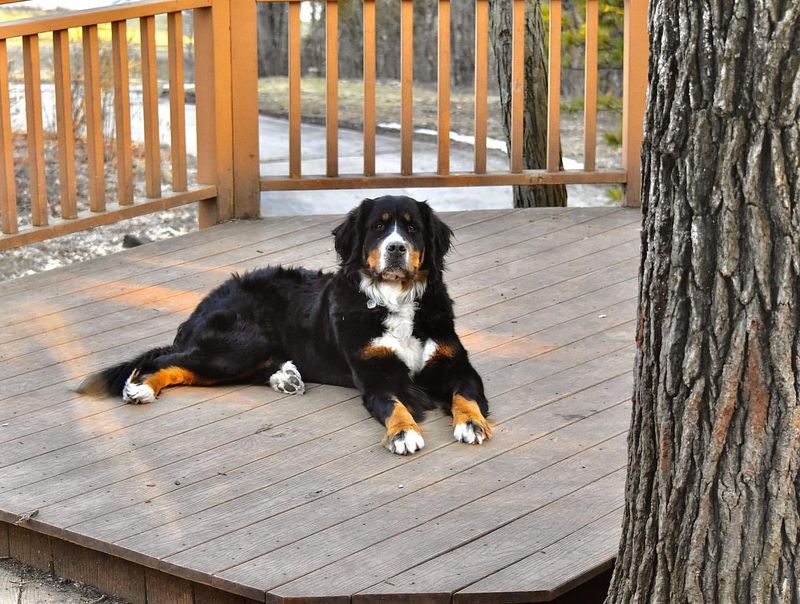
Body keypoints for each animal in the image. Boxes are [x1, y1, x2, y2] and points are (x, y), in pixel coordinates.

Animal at [83, 196, 494, 456]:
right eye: (379, 228)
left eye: (412, 229)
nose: (396, 248)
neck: (395, 299)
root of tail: (208, 298)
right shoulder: (376, 373)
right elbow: (395, 404)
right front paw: (404, 433)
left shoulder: (454, 363)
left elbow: (466, 394)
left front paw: (472, 424)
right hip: (238, 343)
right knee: (168, 361)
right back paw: (139, 388)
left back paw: (285, 376)